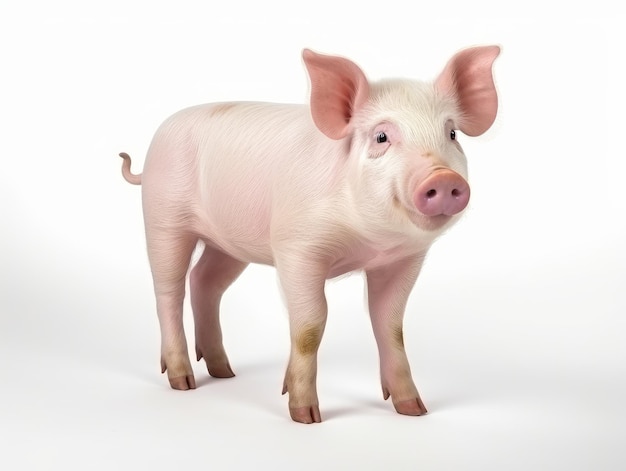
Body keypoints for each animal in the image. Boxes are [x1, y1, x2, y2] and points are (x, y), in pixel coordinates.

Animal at [117, 46, 498, 426]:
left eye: (452, 134)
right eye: (381, 137)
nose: (444, 178)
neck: (370, 241)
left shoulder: (405, 259)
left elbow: (391, 325)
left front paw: (414, 409)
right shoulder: (297, 248)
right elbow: (310, 327)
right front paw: (306, 416)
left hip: (228, 243)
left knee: (204, 282)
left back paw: (224, 372)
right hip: (162, 217)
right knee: (168, 290)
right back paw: (183, 382)